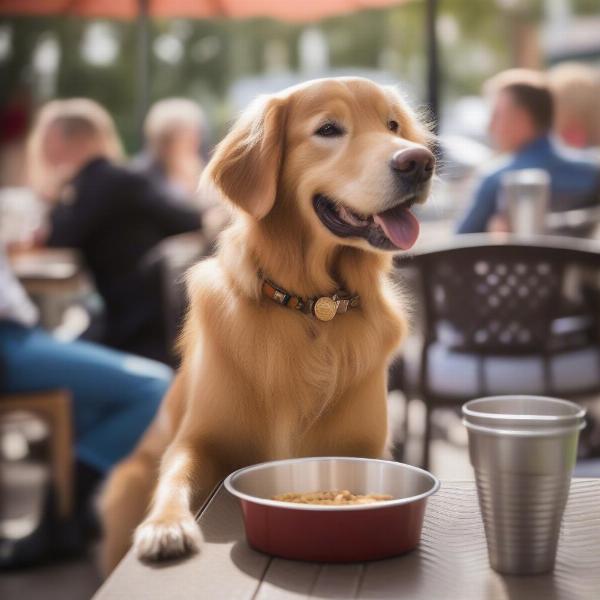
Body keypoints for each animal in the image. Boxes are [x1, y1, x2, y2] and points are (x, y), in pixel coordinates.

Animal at [101, 76, 434, 572]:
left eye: (392, 125)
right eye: (328, 129)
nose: (419, 162)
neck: (314, 307)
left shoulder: (365, 447)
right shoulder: (198, 438)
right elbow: (176, 471)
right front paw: (166, 526)